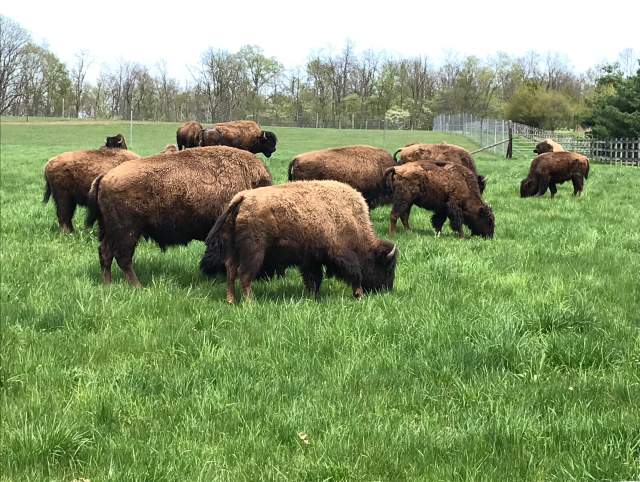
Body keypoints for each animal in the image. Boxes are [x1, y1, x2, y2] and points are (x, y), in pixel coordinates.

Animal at [87, 146, 272, 287]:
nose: (267, 276)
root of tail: (106, 176)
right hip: (128, 231)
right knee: (122, 257)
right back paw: (137, 286)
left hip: (110, 230)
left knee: (105, 253)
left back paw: (108, 284)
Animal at [200, 180, 397, 303]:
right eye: (387, 268)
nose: (386, 290)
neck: (352, 219)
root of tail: (242, 198)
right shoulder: (341, 254)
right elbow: (355, 274)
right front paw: (359, 294)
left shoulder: (311, 259)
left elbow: (314, 278)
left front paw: (314, 297)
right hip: (254, 252)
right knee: (245, 275)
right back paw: (251, 302)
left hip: (232, 251)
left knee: (231, 272)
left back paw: (231, 300)